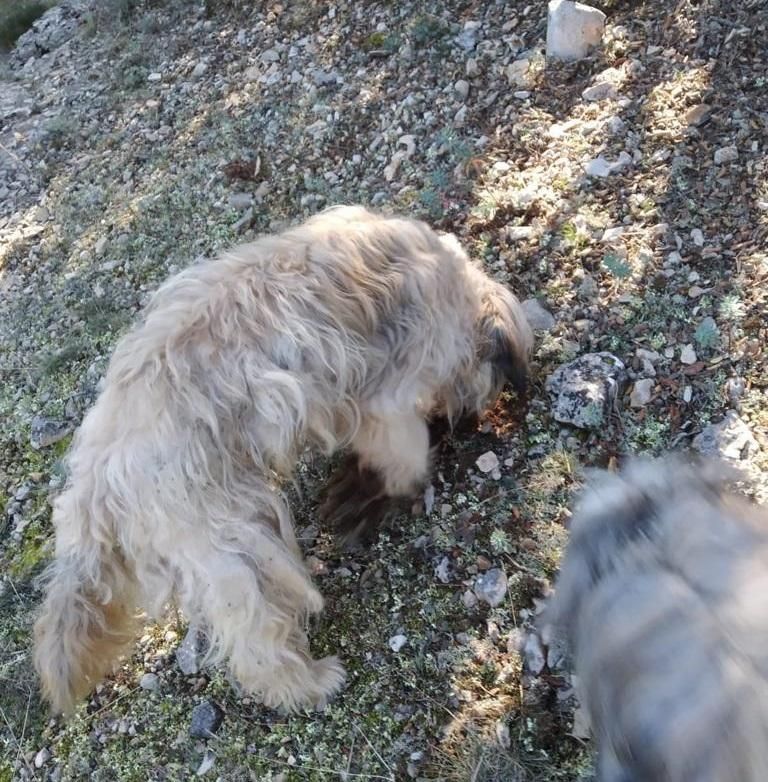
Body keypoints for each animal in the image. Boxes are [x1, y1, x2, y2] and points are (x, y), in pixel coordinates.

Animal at [34, 207, 536, 716]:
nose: (475, 419)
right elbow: (401, 454)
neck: (460, 290)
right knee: (257, 640)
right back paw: (308, 683)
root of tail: (96, 483)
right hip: (233, 543)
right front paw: (380, 493)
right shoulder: (393, 394)